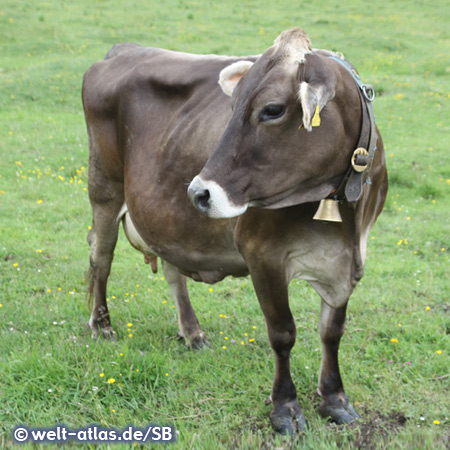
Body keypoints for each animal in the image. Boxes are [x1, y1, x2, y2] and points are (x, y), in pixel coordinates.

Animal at [82, 27, 388, 432]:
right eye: (232, 108)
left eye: (272, 109)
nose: (198, 193)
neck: (344, 216)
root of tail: (123, 49)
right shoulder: (262, 253)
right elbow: (283, 332)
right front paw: (285, 407)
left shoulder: (350, 260)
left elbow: (332, 331)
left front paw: (335, 398)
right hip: (104, 188)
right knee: (101, 258)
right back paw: (102, 325)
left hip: (165, 220)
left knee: (172, 271)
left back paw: (192, 332)